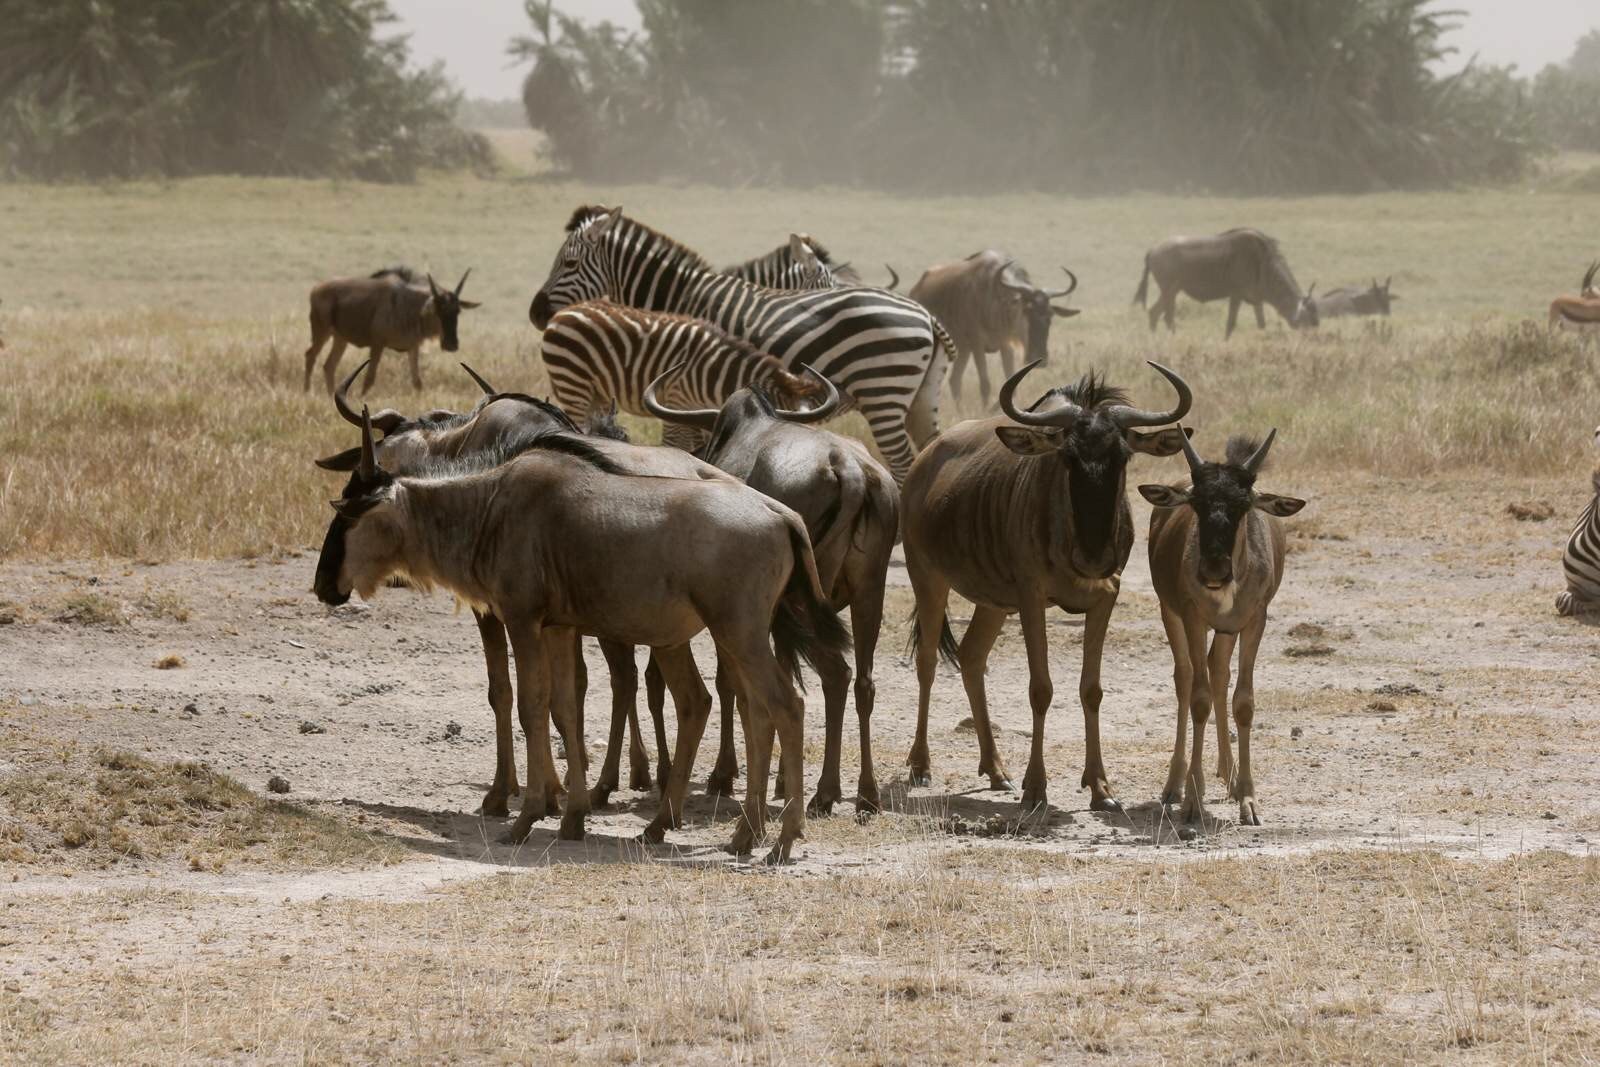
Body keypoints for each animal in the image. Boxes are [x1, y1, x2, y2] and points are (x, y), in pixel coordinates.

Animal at [540, 299, 838, 454]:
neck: (717, 375)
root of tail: (566, 310)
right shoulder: (677, 401)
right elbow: (677, 446)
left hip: (597, 390)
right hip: (572, 381)